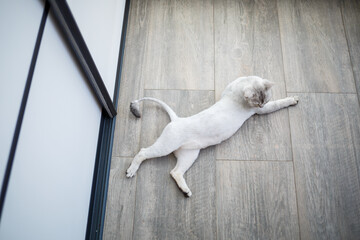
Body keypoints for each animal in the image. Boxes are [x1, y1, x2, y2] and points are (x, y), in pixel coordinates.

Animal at [126, 75, 298, 197]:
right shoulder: (259, 111)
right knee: (142, 152)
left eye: (265, 99)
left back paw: (186, 191)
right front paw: (292, 99)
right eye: (258, 103)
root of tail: (176, 119)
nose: (261, 105)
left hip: (189, 155)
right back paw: (131, 171)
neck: (241, 85)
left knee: (175, 172)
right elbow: (278, 104)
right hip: (166, 146)